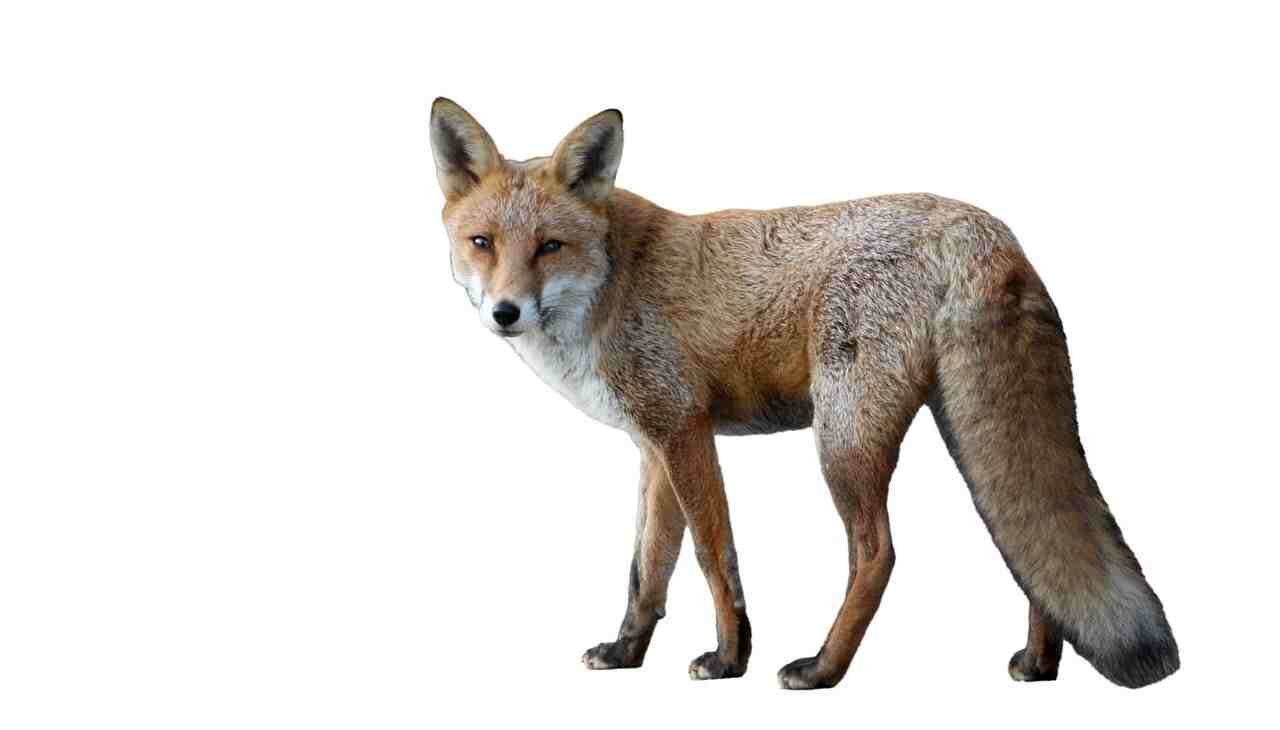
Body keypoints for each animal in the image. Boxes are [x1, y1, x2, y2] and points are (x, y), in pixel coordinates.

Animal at [428, 97, 1179, 689]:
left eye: (550, 246)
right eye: (482, 242)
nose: (505, 313)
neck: (610, 286)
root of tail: (986, 229)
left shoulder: (684, 430)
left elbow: (713, 554)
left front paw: (730, 659)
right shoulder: (655, 443)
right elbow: (647, 568)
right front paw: (625, 653)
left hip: (843, 437)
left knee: (879, 555)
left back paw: (822, 669)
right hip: (966, 432)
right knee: (1023, 544)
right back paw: (1038, 663)